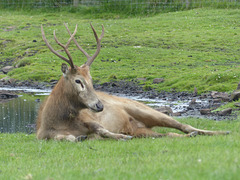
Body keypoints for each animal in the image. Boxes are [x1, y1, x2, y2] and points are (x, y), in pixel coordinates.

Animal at [36, 23, 230, 142]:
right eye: (78, 80)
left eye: (91, 80)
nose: (99, 105)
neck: (56, 119)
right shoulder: (42, 135)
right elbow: (68, 138)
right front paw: (79, 137)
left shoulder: (91, 121)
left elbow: (102, 130)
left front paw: (120, 137)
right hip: (141, 130)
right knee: (165, 134)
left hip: (142, 108)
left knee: (183, 125)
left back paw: (223, 131)